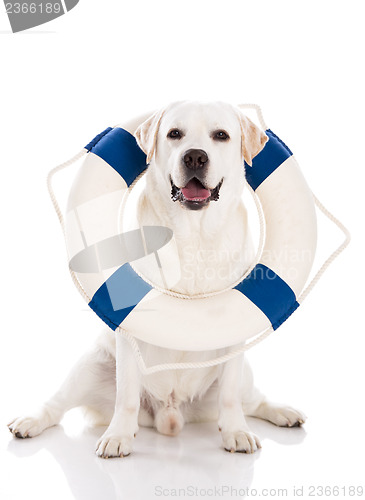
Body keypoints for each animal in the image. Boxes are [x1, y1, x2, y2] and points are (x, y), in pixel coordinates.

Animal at [7, 101, 304, 458]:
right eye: (174, 133)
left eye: (221, 135)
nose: (195, 157)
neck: (193, 232)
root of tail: (170, 413)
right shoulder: (126, 333)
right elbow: (126, 397)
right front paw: (118, 435)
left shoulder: (236, 338)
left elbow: (230, 397)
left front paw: (236, 432)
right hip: (91, 366)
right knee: (57, 405)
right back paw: (30, 421)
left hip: (238, 375)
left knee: (251, 401)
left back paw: (282, 412)